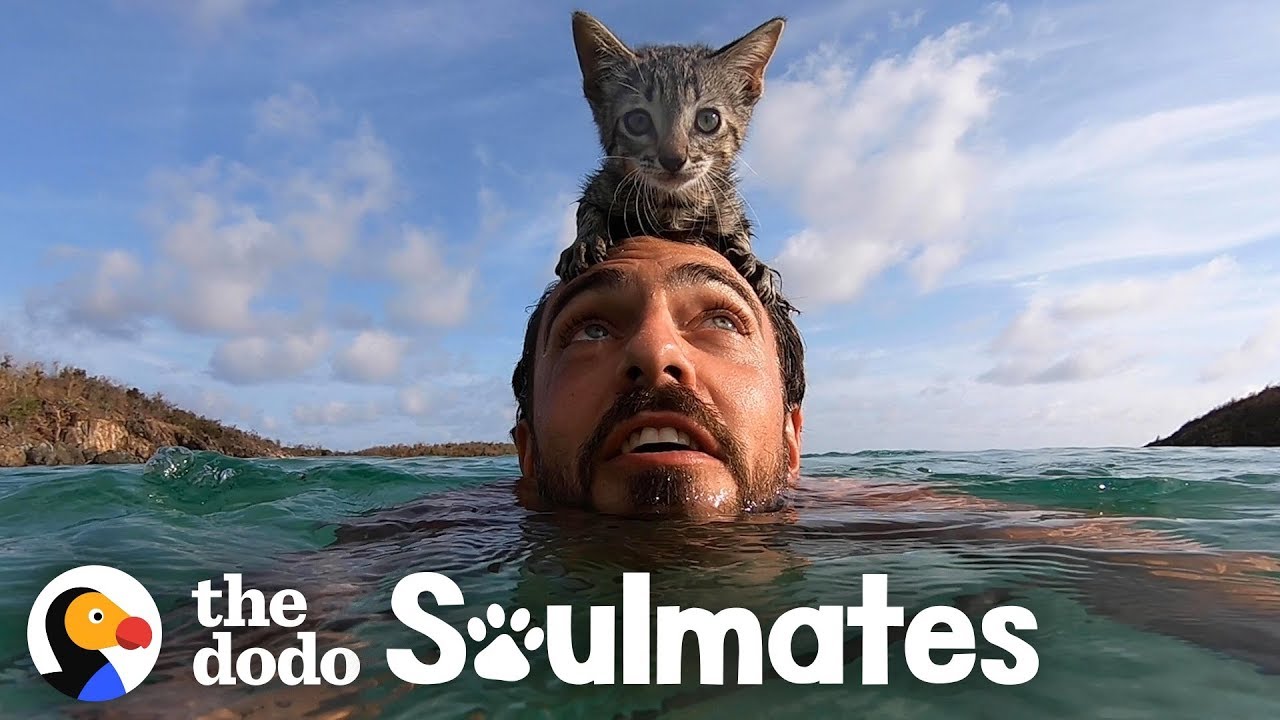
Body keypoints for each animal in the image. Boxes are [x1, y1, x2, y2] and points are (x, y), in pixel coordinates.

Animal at [560, 11, 788, 302]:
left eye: (708, 119)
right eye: (637, 121)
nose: (673, 159)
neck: (672, 205)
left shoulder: (728, 204)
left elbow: (740, 231)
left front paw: (754, 260)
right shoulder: (600, 185)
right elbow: (588, 210)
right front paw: (585, 242)